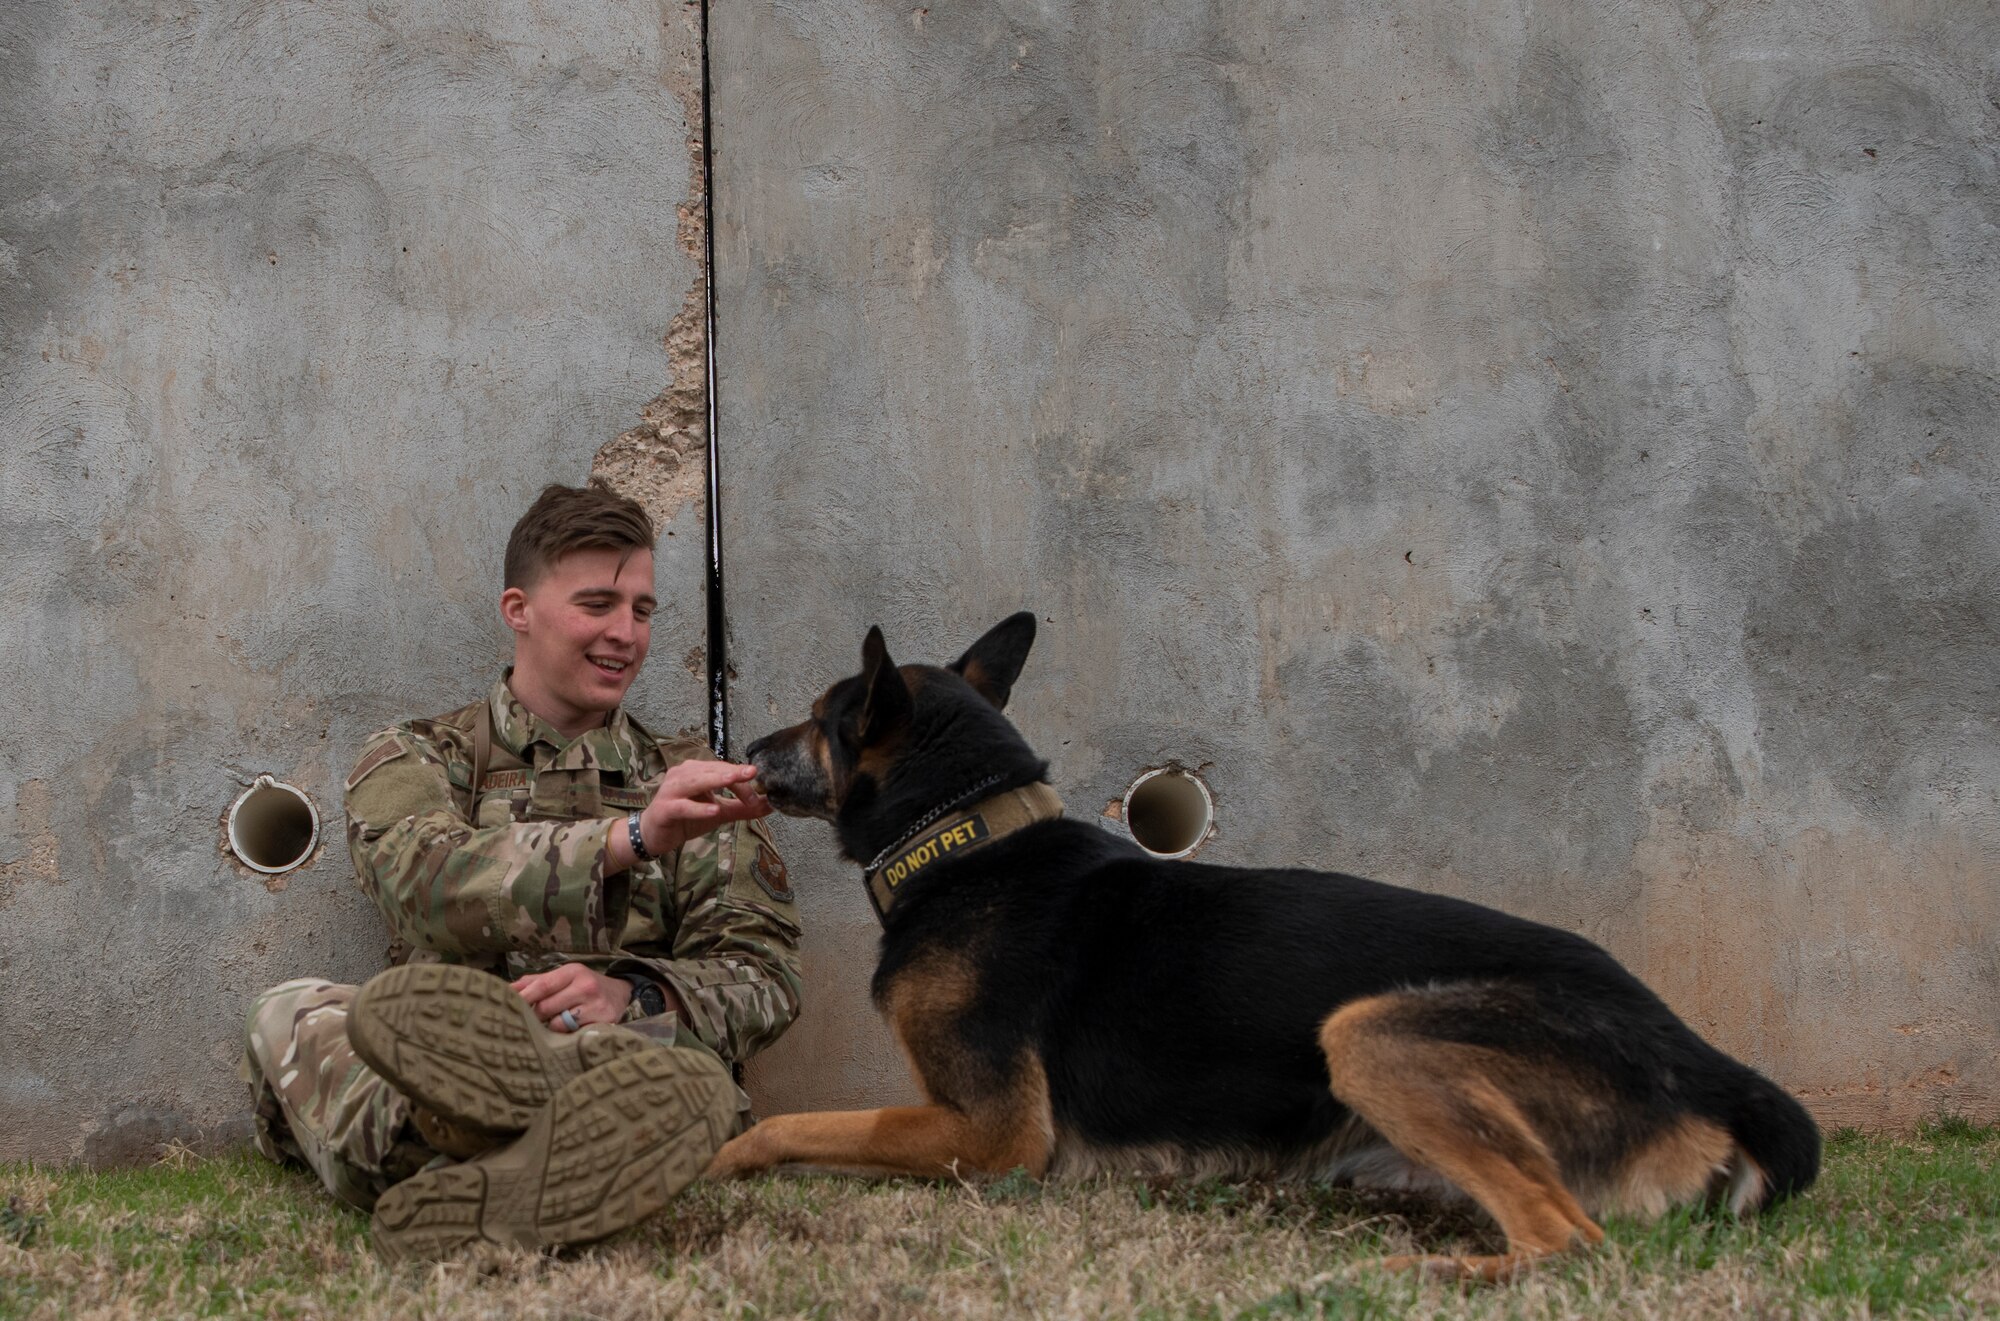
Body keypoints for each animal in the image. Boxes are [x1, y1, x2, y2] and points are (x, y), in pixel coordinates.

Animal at [712, 612, 1824, 1280]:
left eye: (816, 720)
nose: (743, 751)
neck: (969, 837)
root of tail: (1710, 1064)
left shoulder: (988, 1133)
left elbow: (788, 1125)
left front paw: (721, 1157)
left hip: (1371, 1033)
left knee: (1571, 1239)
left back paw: (1434, 1271)